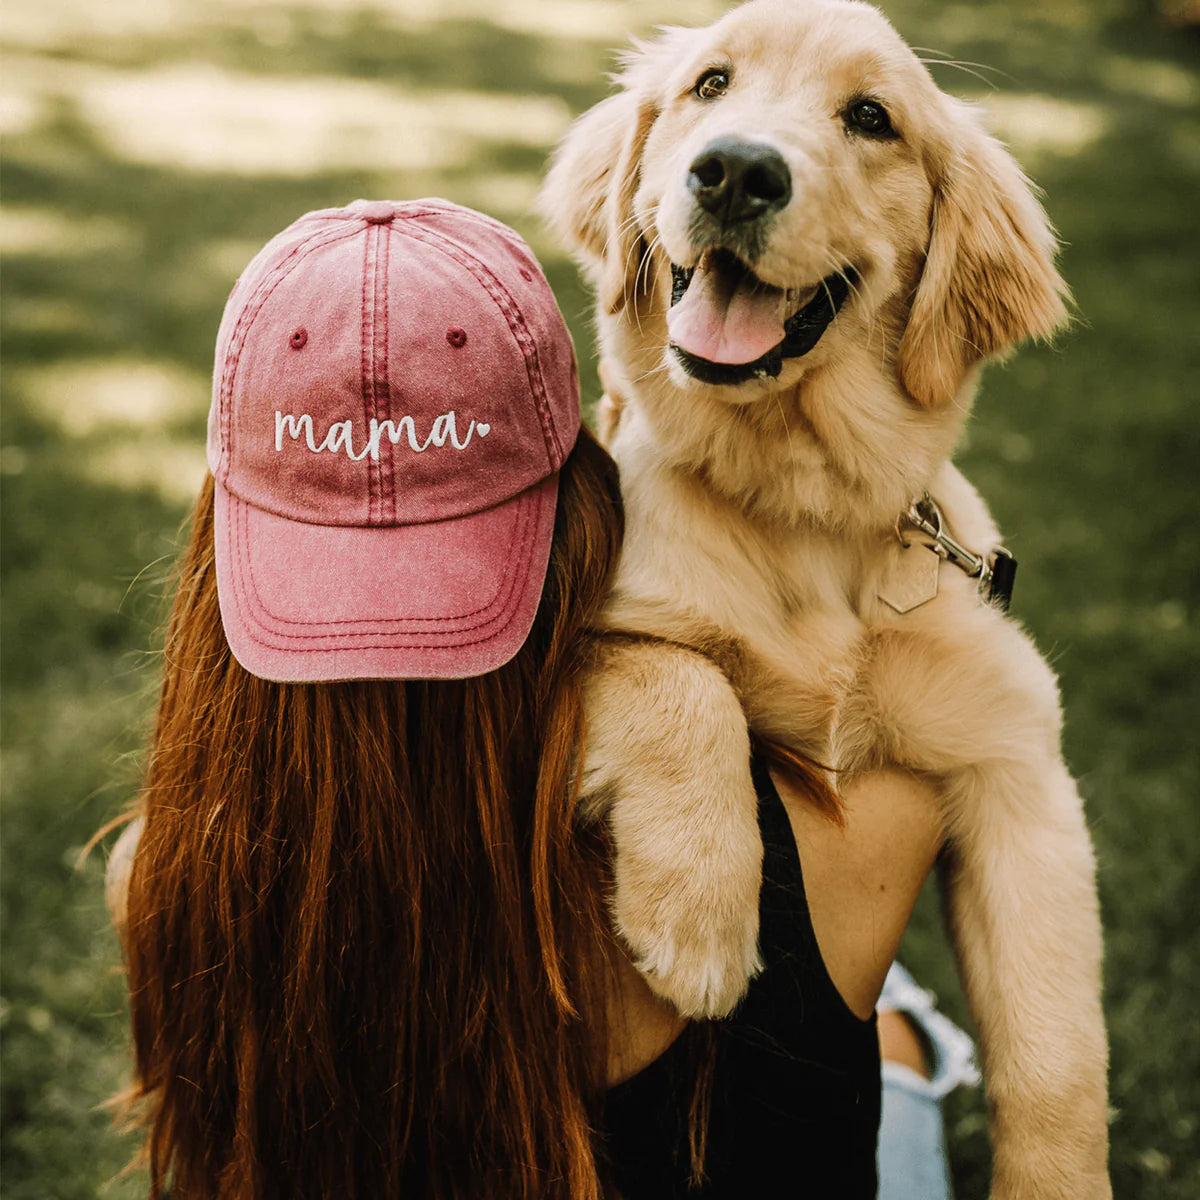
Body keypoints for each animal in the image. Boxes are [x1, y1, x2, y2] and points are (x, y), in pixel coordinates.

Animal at [542, 0, 1104, 1190]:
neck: (801, 513)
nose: (734, 172)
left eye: (872, 118)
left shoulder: (1018, 768)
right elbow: (677, 670)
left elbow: (1060, 1058)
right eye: (711, 83)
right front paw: (700, 916)